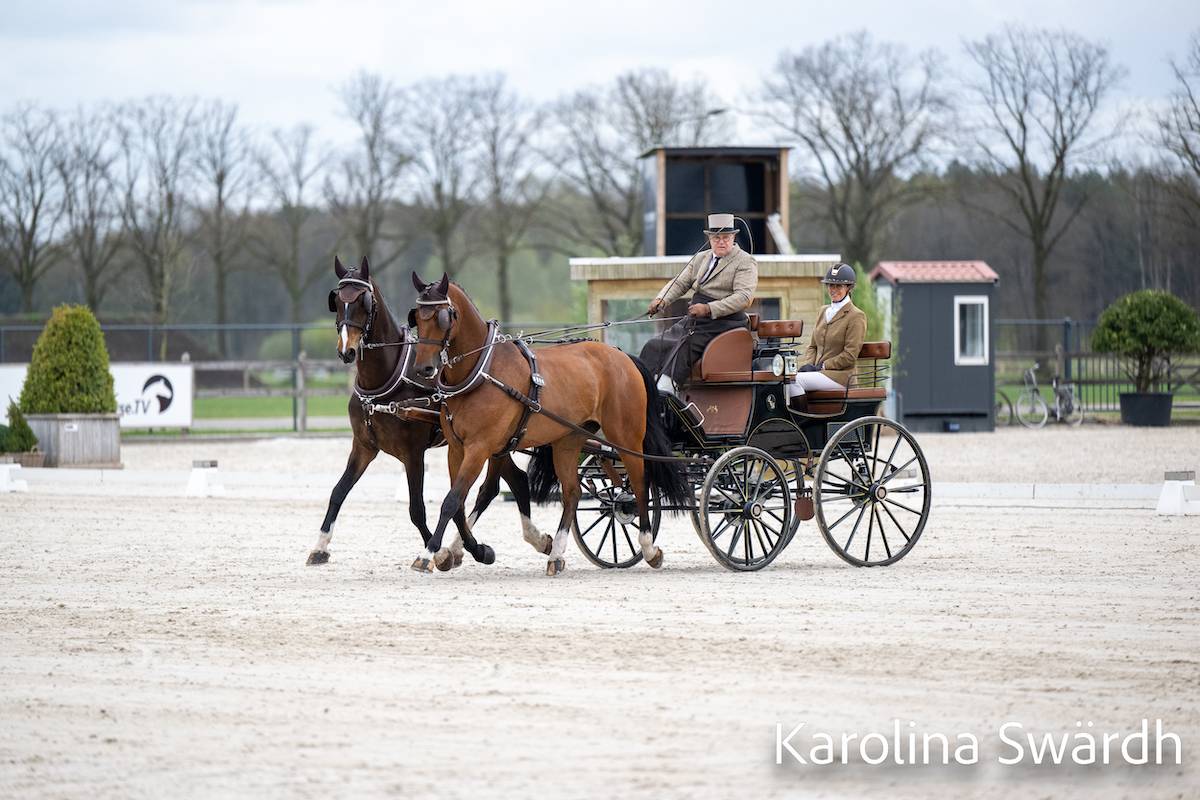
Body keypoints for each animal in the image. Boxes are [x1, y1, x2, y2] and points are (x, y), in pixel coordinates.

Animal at [308, 256, 543, 569]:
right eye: (336, 300)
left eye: (363, 301)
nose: (346, 350)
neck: (386, 378)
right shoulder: (363, 447)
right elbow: (338, 492)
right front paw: (320, 546)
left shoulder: (413, 453)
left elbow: (417, 509)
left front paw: (439, 553)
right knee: (513, 481)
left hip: (491, 443)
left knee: (493, 488)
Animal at [406, 272, 690, 576]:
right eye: (417, 318)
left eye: (442, 317)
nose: (423, 368)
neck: (482, 371)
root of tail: (623, 355)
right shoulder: (458, 448)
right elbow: (457, 502)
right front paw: (465, 551)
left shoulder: (479, 448)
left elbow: (452, 500)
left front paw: (429, 553)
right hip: (568, 441)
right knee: (572, 492)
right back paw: (556, 555)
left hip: (626, 437)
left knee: (639, 484)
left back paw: (649, 548)